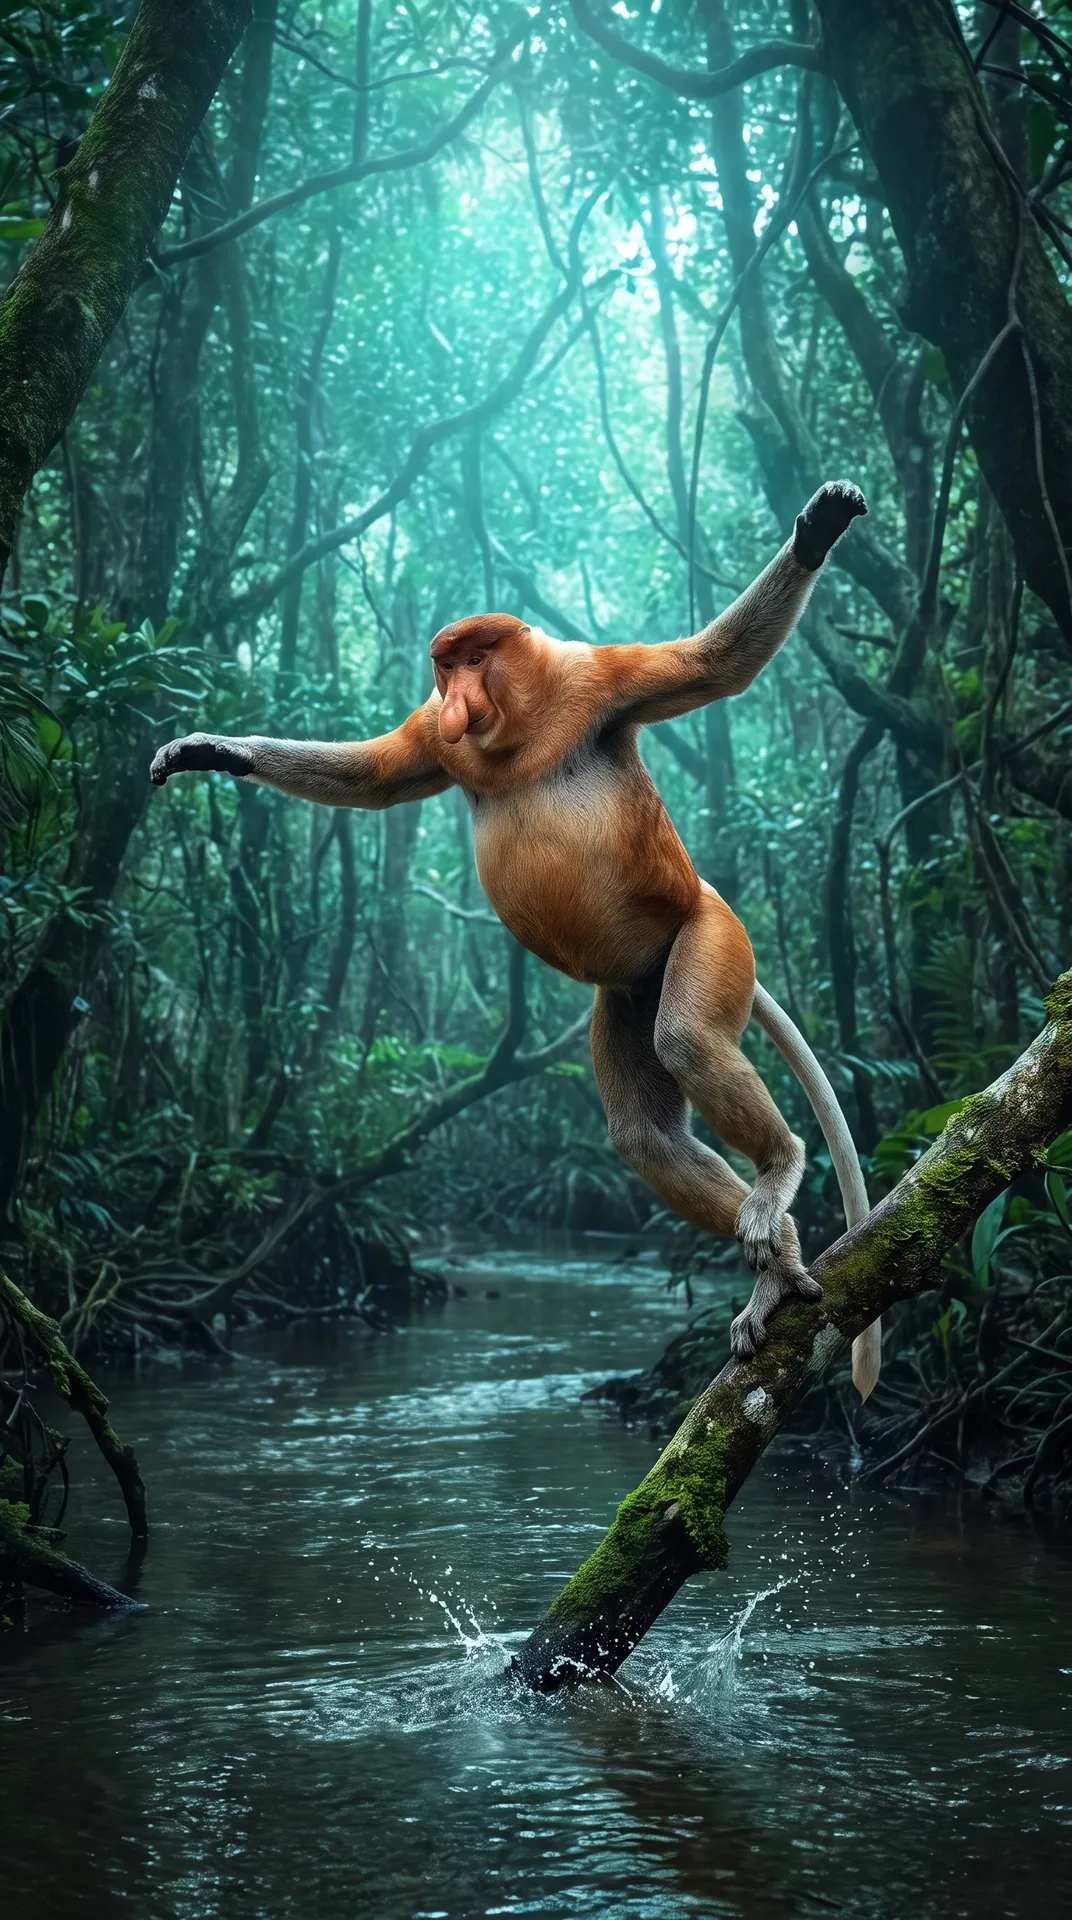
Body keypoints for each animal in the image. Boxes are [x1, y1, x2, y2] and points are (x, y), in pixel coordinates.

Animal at [151, 480, 880, 1396]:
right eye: (445, 664)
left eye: (475, 655)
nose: (455, 692)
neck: (518, 726)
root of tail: (701, 896)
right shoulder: (437, 735)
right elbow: (376, 775)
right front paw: (213, 750)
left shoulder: (598, 677)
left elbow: (712, 665)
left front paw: (822, 525)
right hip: (626, 990)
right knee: (643, 1134)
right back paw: (777, 1264)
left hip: (709, 934)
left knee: (685, 1035)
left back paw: (778, 1177)